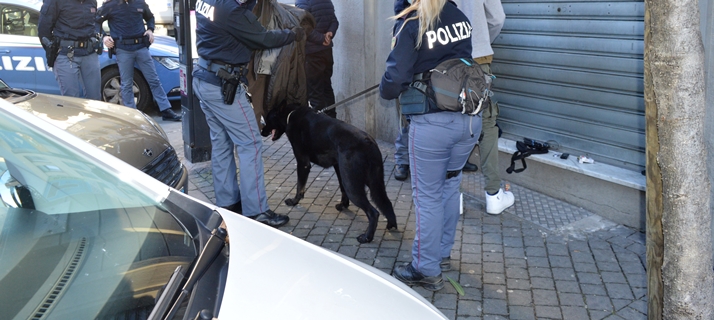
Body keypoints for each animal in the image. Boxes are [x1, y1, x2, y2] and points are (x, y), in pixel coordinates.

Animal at [260, 102, 398, 242]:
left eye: (268, 118)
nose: (261, 132)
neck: (290, 115)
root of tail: (368, 142)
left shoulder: (303, 163)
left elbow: (300, 186)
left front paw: (294, 201)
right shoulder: (338, 168)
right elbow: (341, 189)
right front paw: (343, 205)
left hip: (352, 185)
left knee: (373, 212)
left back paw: (367, 237)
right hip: (374, 182)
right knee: (386, 202)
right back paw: (391, 224)